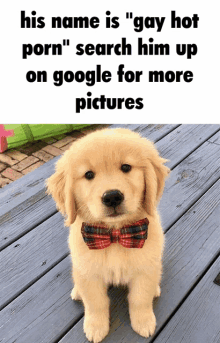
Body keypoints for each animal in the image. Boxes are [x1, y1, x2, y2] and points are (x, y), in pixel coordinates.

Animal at [46, 128, 170, 343]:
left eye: (126, 167)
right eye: (88, 175)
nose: (112, 197)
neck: (115, 234)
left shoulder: (145, 269)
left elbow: (140, 298)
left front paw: (143, 321)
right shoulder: (89, 273)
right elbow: (96, 303)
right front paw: (96, 327)